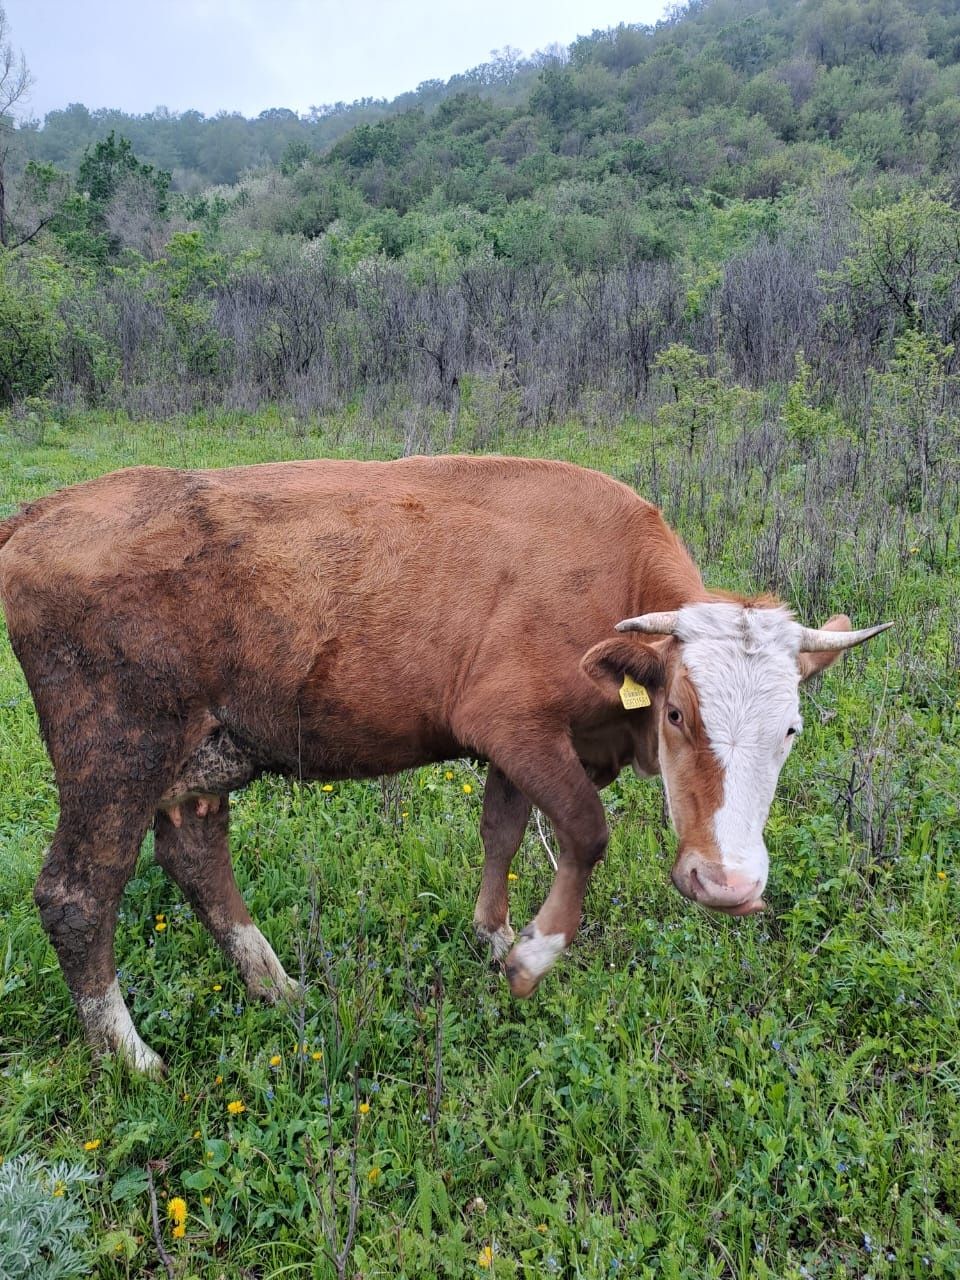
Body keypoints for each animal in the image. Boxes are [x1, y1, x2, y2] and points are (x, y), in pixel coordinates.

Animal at [0, 455, 896, 1075]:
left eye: (790, 729)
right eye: (677, 713)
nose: (730, 885)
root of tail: (44, 511)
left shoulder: (517, 746)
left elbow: (503, 830)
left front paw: (495, 935)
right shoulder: (514, 722)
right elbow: (586, 831)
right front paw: (533, 957)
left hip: (199, 754)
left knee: (194, 854)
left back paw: (277, 987)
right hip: (113, 751)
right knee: (78, 894)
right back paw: (130, 1056)